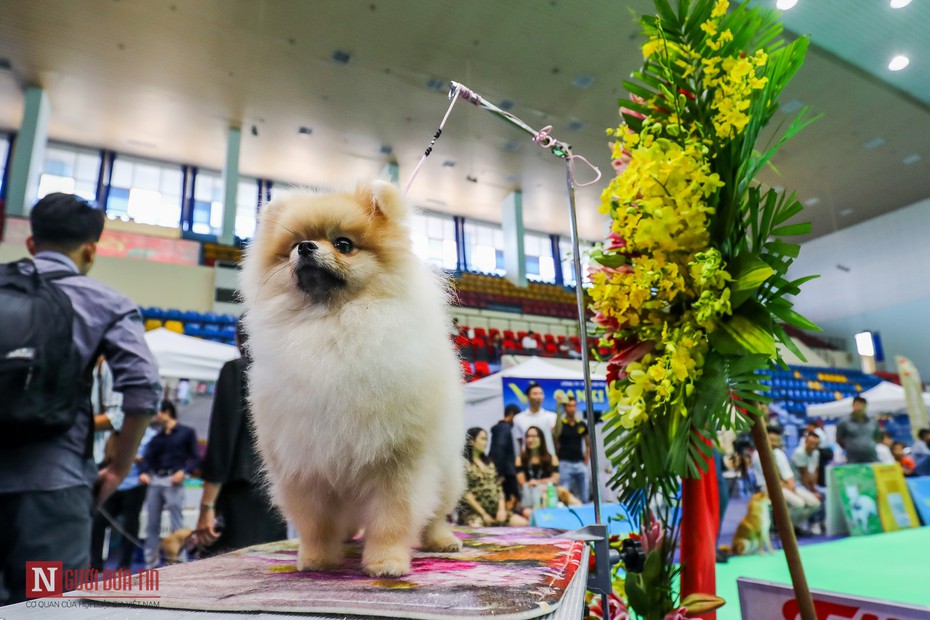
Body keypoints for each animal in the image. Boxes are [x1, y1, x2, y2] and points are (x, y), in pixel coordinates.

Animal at [239, 179, 464, 576]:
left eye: (343, 244)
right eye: (295, 243)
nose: (306, 247)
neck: (332, 323)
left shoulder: (398, 462)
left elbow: (393, 518)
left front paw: (386, 562)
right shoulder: (305, 464)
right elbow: (315, 522)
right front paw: (316, 559)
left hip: (446, 469)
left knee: (436, 512)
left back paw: (441, 540)